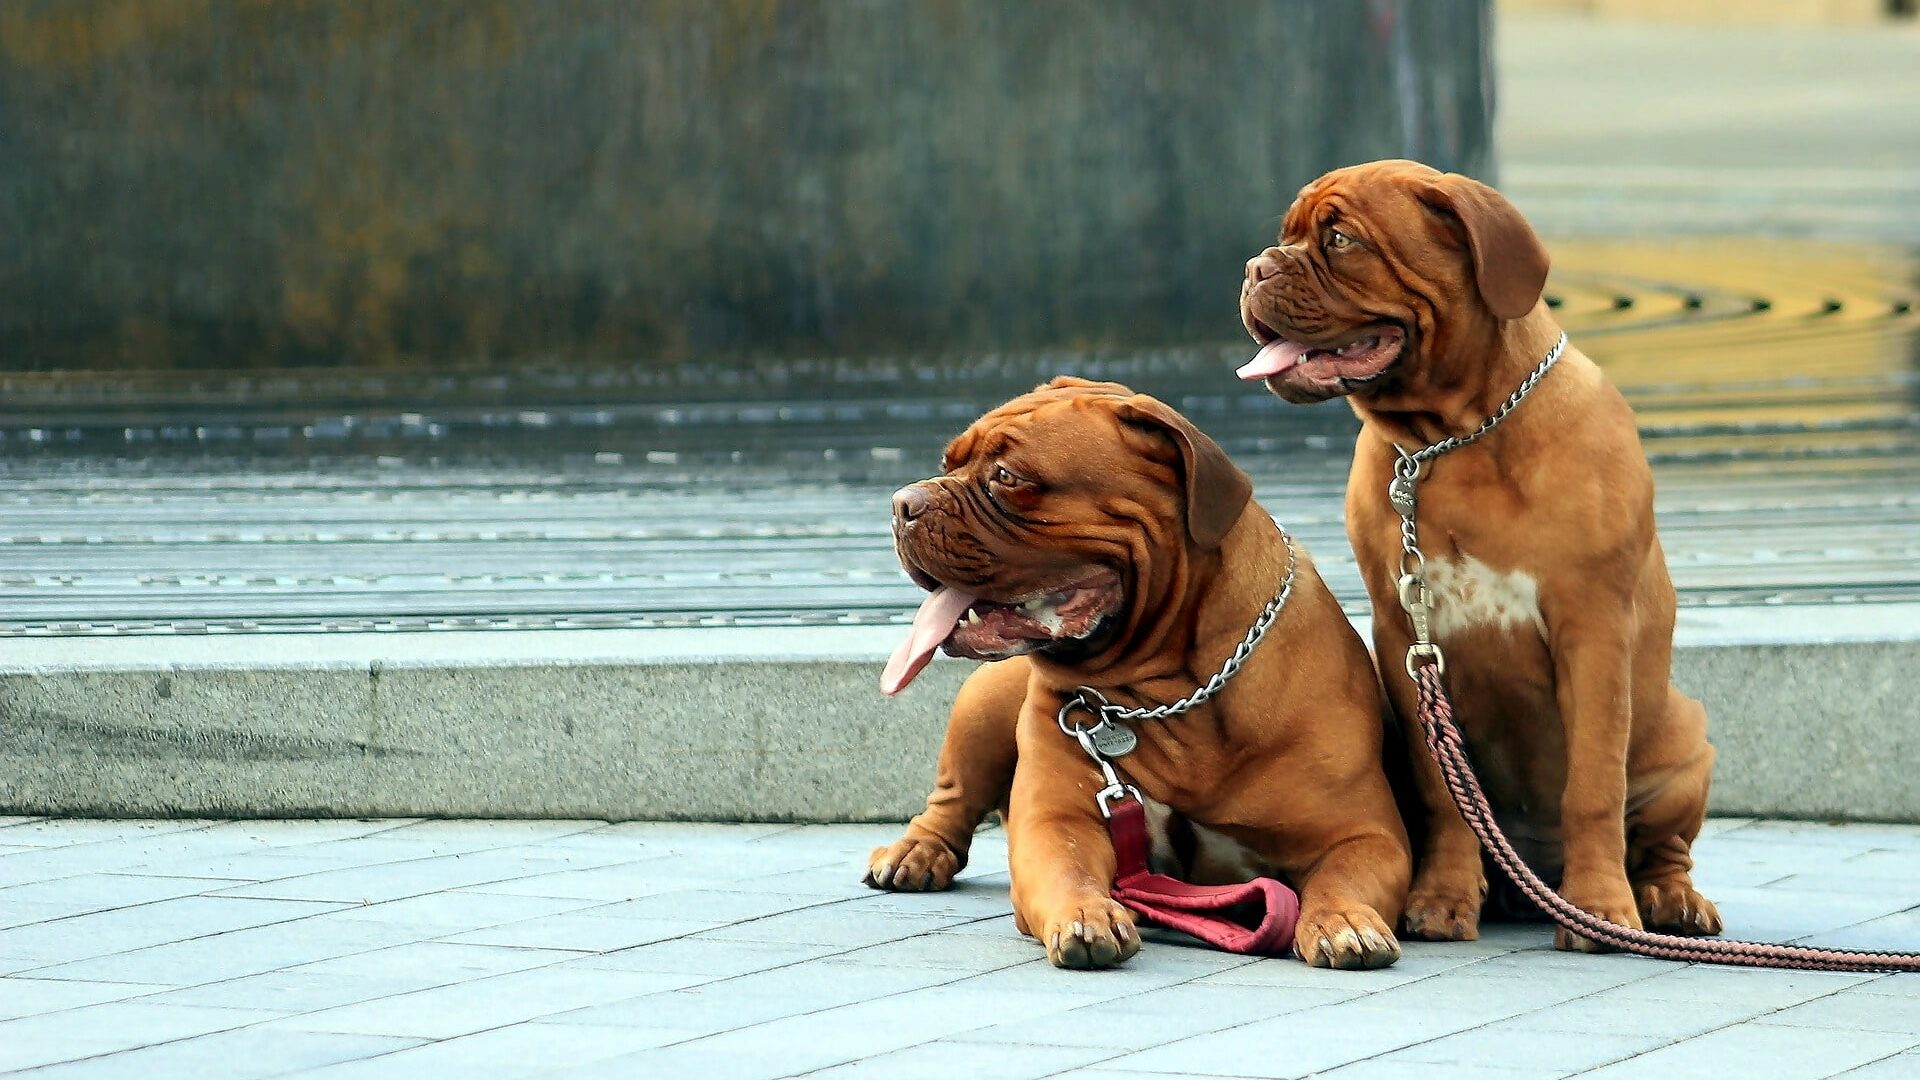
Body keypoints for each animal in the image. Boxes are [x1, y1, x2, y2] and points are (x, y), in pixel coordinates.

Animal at [871, 376, 1413, 968]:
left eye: (1009, 477)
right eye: (948, 462)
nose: (902, 502)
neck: (1171, 692)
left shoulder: (1362, 834)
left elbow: (1342, 878)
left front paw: (1344, 921)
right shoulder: (1058, 824)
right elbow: (1068, 869)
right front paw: (1087, 914)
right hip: (981, 709)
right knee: (951, 799)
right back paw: (915, 853)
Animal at [1244, 155, 1728, 945]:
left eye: (1341, 238)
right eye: (1285, 235)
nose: (1257, 266)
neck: (1453, 438)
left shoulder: (1593, 630)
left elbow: (1594, 782)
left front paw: (1601, 908)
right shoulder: (1404, 639)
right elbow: (1445, 796)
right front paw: (1442, 899)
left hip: (1687, 741)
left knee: (1661, 845)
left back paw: (1666, 900)